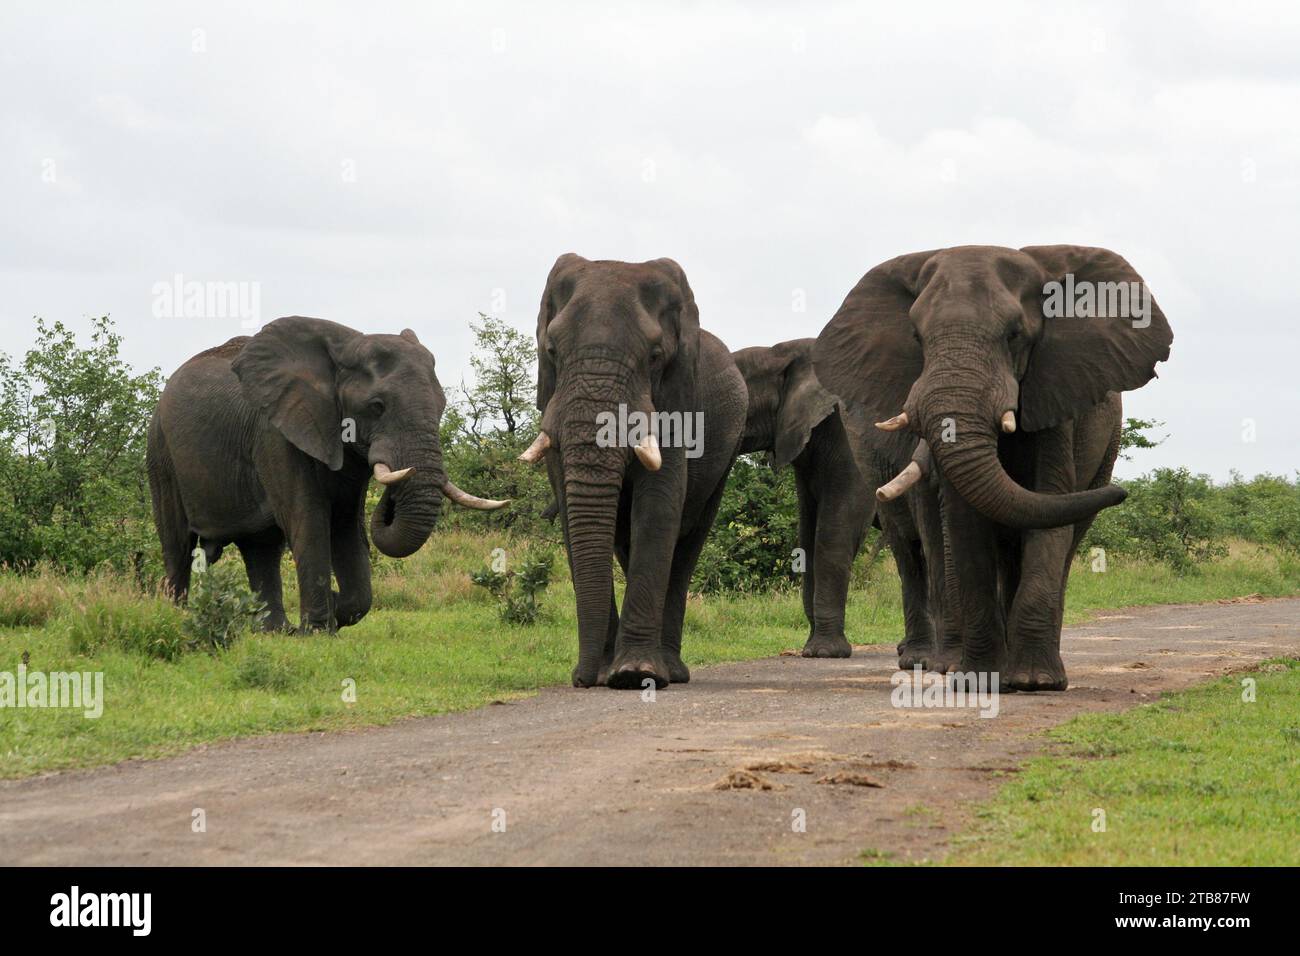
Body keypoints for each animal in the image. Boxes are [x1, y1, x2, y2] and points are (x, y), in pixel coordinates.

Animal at [146, 316, 501, 634]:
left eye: (442, 407)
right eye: (377, 406)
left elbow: (346, 525)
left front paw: (334, 613)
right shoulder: (277, 434)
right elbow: (309, 520)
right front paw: (318, 631)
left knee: (261, 548)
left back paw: (275, 632)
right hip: (161, 452)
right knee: (178, 546)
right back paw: (179, 619)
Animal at [514, 254, 748, 686]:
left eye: (655, 356)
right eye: (551, 350)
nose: (582, 678)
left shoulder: (677, 400)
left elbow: (657, 509)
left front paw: (634, 674)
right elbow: (573, 516)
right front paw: (610, 672)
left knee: (687, 546)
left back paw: (669, 670)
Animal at [811, 247, 1170, 691]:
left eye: (1014, 334)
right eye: (917, 338)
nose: (1123, 493)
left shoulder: (1053, 395)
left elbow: (1049, 502)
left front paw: (1035, 682)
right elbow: (962, 524)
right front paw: (975, 681)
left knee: (1066, 533)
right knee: (914, 547)